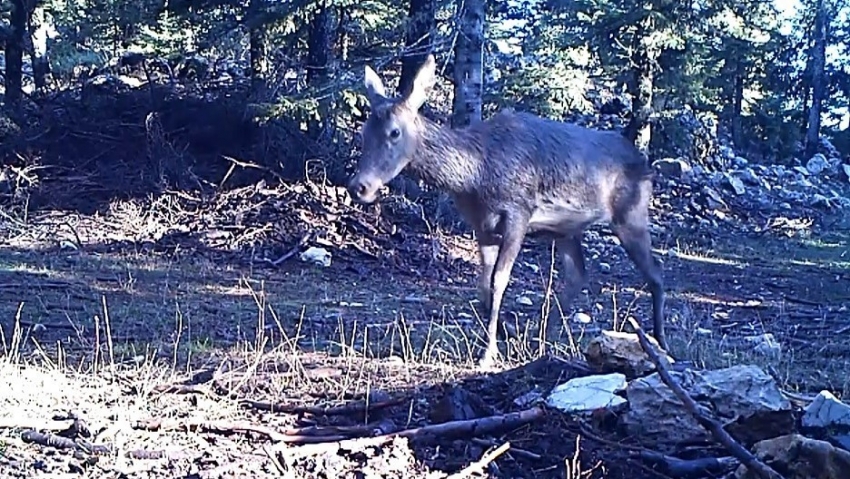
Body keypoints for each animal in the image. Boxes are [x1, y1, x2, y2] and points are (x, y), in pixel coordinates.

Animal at [344, 55, 664, 372]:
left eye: (394, 132)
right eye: (363, 132)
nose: (359, 186)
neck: (477, 175)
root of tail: (646, 164)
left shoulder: (518, 212)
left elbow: (499, 280)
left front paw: (488, 353)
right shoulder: (481, 226)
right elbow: (484, 285)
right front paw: (500, 337)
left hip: (631, 211)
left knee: (655, 273)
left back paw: (659, 343)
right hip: (566, 228)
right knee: (578, 275)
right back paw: (541, 340)